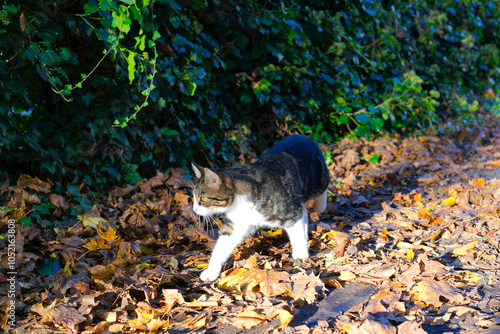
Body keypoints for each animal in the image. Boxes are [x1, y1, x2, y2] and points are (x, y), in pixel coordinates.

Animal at [190, 134, 328, 280]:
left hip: (319, 179)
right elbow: (221, 247)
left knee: (321, 197)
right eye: (194, 197)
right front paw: (211, 272)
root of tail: (302, 136)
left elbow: (297, 234)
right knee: (304, 213)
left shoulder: (291, 212)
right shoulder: (236, 224)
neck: (238, 203)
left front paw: (301, 256)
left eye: (202, 199)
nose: (194, 209)